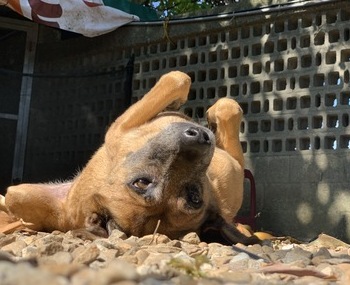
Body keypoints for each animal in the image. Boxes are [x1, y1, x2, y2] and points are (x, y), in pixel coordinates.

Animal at [2, 71, 260, 244]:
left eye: (194, 198)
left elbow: (214, 100)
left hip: (20, 194)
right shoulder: (121, 128)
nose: (201, 137)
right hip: (20, 193)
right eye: (142, 183)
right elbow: (182, 80)